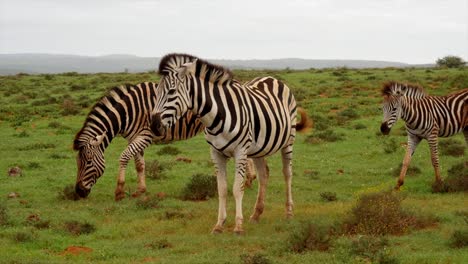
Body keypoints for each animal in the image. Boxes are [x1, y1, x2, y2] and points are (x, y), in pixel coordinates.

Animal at [74, 82, 204, 200]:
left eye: (89, 162)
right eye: (77, 162)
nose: (79, 191)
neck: (129, 112)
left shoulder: (145, 135)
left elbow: (124, 156)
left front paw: (119, 191)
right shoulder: (134, 137)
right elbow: (139, 165)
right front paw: (140, 191)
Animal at [151, 53, 310, 233]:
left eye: (171, 92)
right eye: (157, 92)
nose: (153, 125)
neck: (216, 116)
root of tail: (271, 78)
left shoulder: (240, 151)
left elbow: (237, 188)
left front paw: (238, 226)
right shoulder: (216, 153)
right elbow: (221, 189)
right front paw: (219, 224)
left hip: (288, 140)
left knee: (287, 173)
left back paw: (289, 212)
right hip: (259, 148)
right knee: (264, 175)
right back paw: (256, 214)